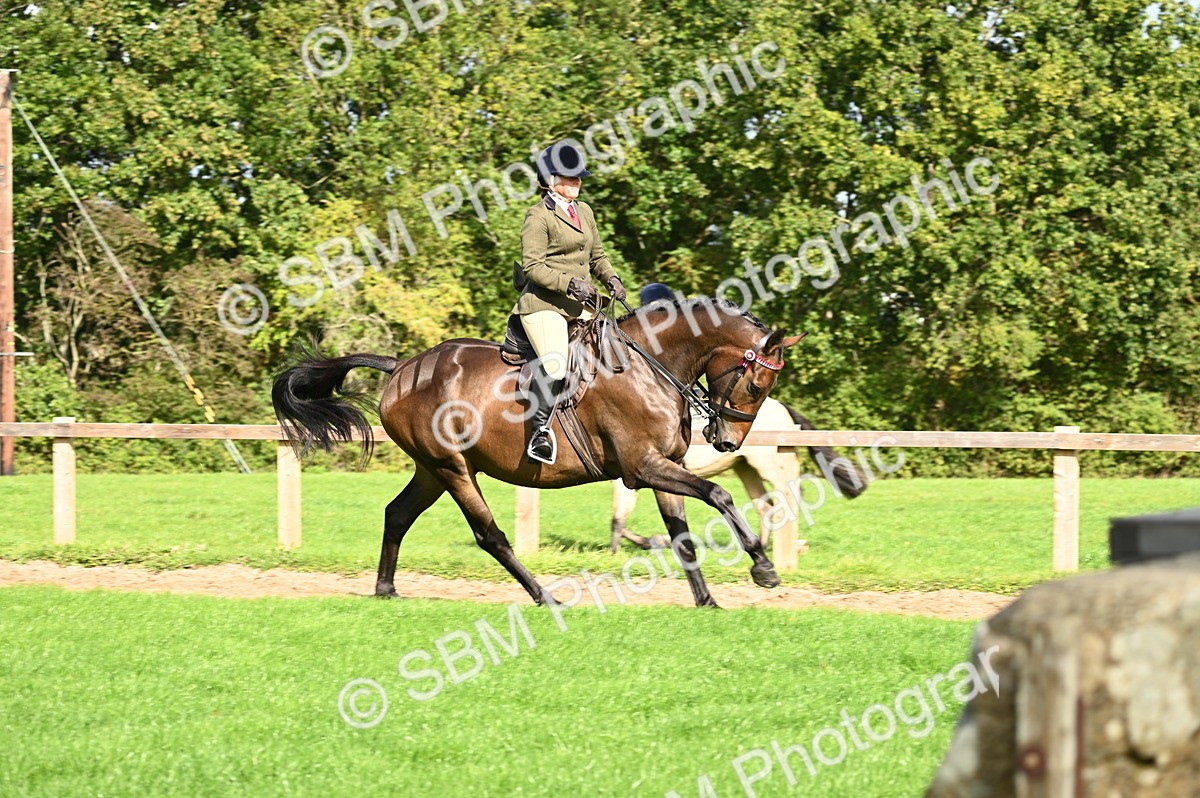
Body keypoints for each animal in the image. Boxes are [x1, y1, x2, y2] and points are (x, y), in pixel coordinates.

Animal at [272, 297, 806, 608]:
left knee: (397, 514)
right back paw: (545, 597)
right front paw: (763, 569)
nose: (728, 442)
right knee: (490, 536)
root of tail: (403, 366)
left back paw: (386, 590)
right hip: (453, 468)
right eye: (757, 384)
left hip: (431, 470)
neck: (651, 365)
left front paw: (707, 601)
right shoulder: (643, 467)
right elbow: (719, 495)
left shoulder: (664, 468)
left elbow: (682, 537)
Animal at [610, 398, 867, 554]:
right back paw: (762, 544)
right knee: (765, 505)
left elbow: (618, 520)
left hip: (768, 464)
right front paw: (648, 542)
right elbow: (619, 519)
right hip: (745, 468)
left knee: (791, 494)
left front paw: (621, 551)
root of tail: (782, 408)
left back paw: (790, 545)